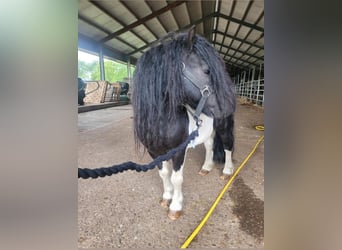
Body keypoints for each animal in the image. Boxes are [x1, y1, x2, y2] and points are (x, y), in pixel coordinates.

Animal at [132, 26, 236, 220]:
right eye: (207, 70)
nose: (229, 105)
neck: (162, 122)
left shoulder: (178, 151)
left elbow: (176, 178)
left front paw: (175, 206)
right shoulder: (154, 152)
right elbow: (163, 173)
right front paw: (167, 197)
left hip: (224, 127)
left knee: (227, 147)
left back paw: (227, 172)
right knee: (210, 146)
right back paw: (206, 168)